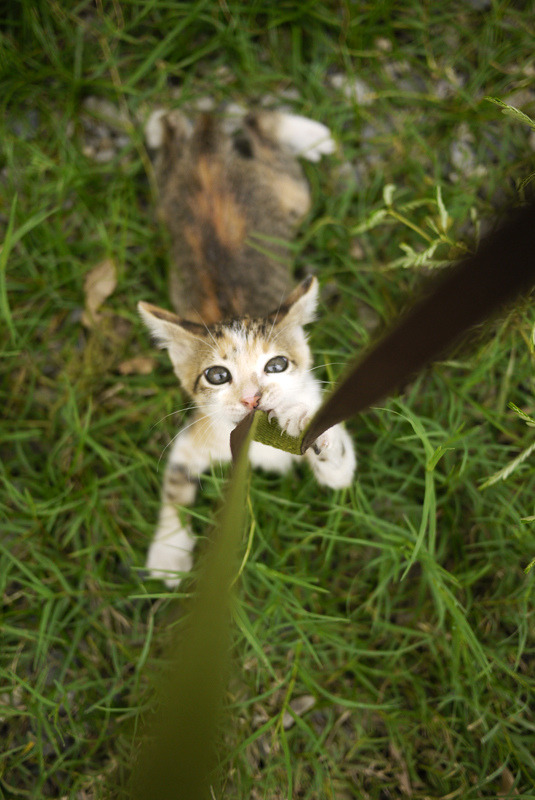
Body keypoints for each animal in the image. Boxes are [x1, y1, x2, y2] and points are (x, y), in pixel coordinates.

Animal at [139, 108, 356, 588]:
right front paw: (168, 550)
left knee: (262, 124)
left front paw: (306, 425)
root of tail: (208, 150)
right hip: (165, 199)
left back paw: (311, 136)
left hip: (290, 194)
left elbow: (339, 469)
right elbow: (175, 483)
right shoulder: (196, 436)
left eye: (276, 365)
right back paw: (162, 123)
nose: (253, 398)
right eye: (217, 375)